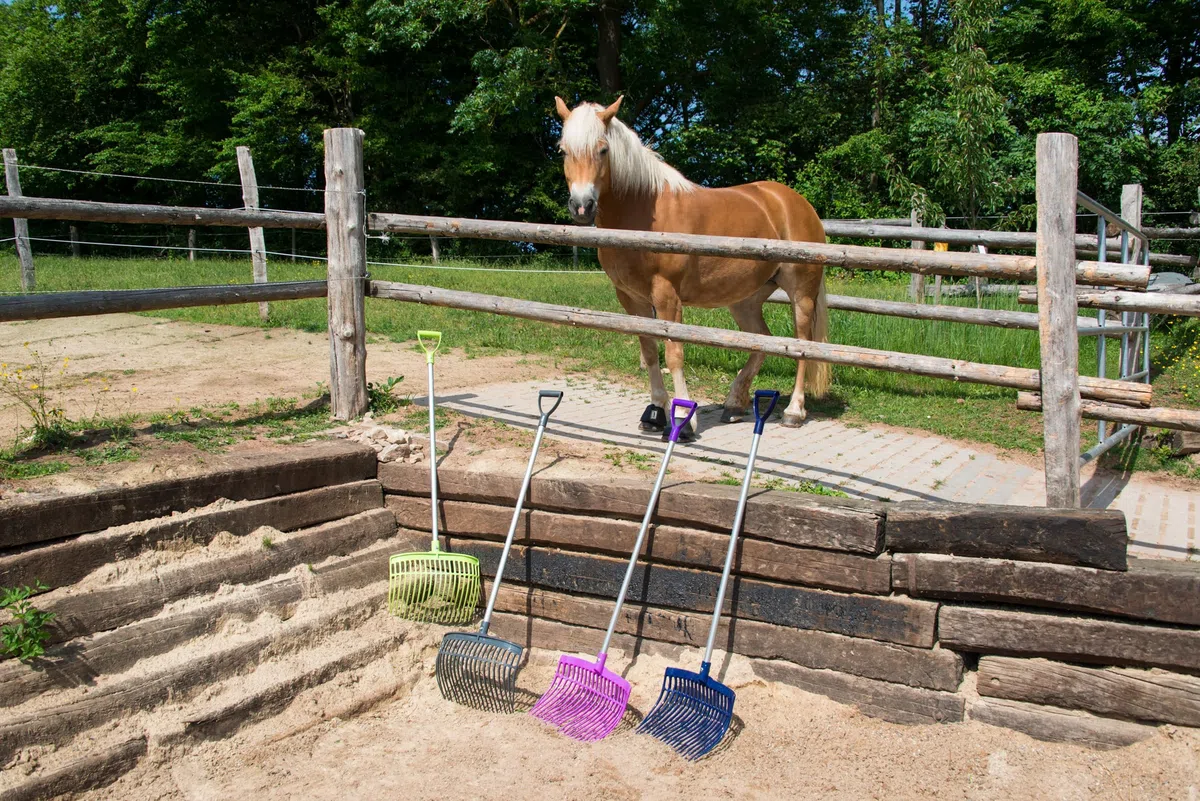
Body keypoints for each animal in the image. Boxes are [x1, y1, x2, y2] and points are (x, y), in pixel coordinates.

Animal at [553, 95, 830, 436]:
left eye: (603, 149)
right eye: (563, 150)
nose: (582, 206)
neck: (643, 211)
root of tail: (797, 203)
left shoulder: (667, 296)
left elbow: (674, 354)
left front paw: (685, 420)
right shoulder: (632, 299)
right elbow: (649, 350)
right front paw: (655, 412)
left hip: (801, 294)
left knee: (802, 344)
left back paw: (793, 411)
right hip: (745, 300)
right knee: (760, 340)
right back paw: (734, 405)